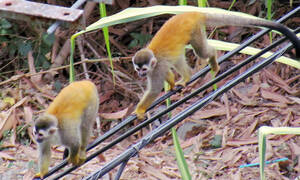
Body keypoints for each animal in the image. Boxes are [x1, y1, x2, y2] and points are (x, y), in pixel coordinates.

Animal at [133, 10, 300, 119]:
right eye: (137, 69)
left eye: (143, 69)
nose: (140, 74)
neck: (153, 61)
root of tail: (193, 13)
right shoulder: (157, 68)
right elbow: (167, 71)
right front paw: (172, 84)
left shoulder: (156, 69)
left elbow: (154, 90)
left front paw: (139, 111)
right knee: (178, 58)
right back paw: (186, 77)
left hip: (194, 30)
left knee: (201, 52)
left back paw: (212, 58)